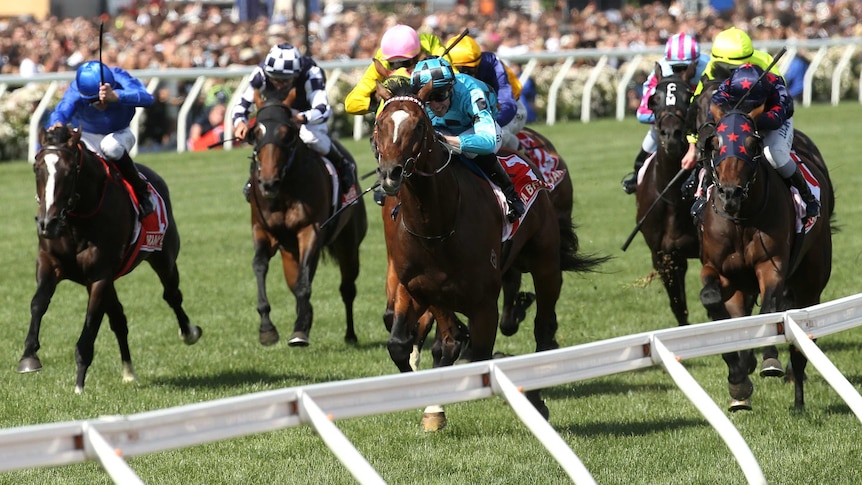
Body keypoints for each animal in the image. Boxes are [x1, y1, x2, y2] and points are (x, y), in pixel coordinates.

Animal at [22, 125, 202, 394]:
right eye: (37, 167)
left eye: (69, 171)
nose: (47, 223)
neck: (76, 221)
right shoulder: (49, 263)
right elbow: (38, 302)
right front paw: (29, 356)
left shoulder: (99, 276)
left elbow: (90, 325)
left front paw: (79, 386)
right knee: (119, 319)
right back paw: (128, 373)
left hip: (164, 258)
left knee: (172, 295)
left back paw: (189, 333)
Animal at [246, 91, 368, 344]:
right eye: (256, 133)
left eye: (287, 133)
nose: (268, 183)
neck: (284, 191)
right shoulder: (262, 229)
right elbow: (260, 265)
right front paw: (267, 328)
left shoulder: (310, 230)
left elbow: (304, 285)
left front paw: (300, 329)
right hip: (289, 253)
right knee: (297, 281)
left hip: (349, 244)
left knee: (347, 288)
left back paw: (350, 335)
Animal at [704, 108, 836, 410]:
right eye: (714, 144)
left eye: (753, 145)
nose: (729, 194)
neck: (741, 219)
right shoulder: (719, 270)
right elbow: (713, 302)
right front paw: (737, 378)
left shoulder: (771, 266)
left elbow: (769, 312)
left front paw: (769, 361)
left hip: (810, 283)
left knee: (799, 345)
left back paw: (798, 402)